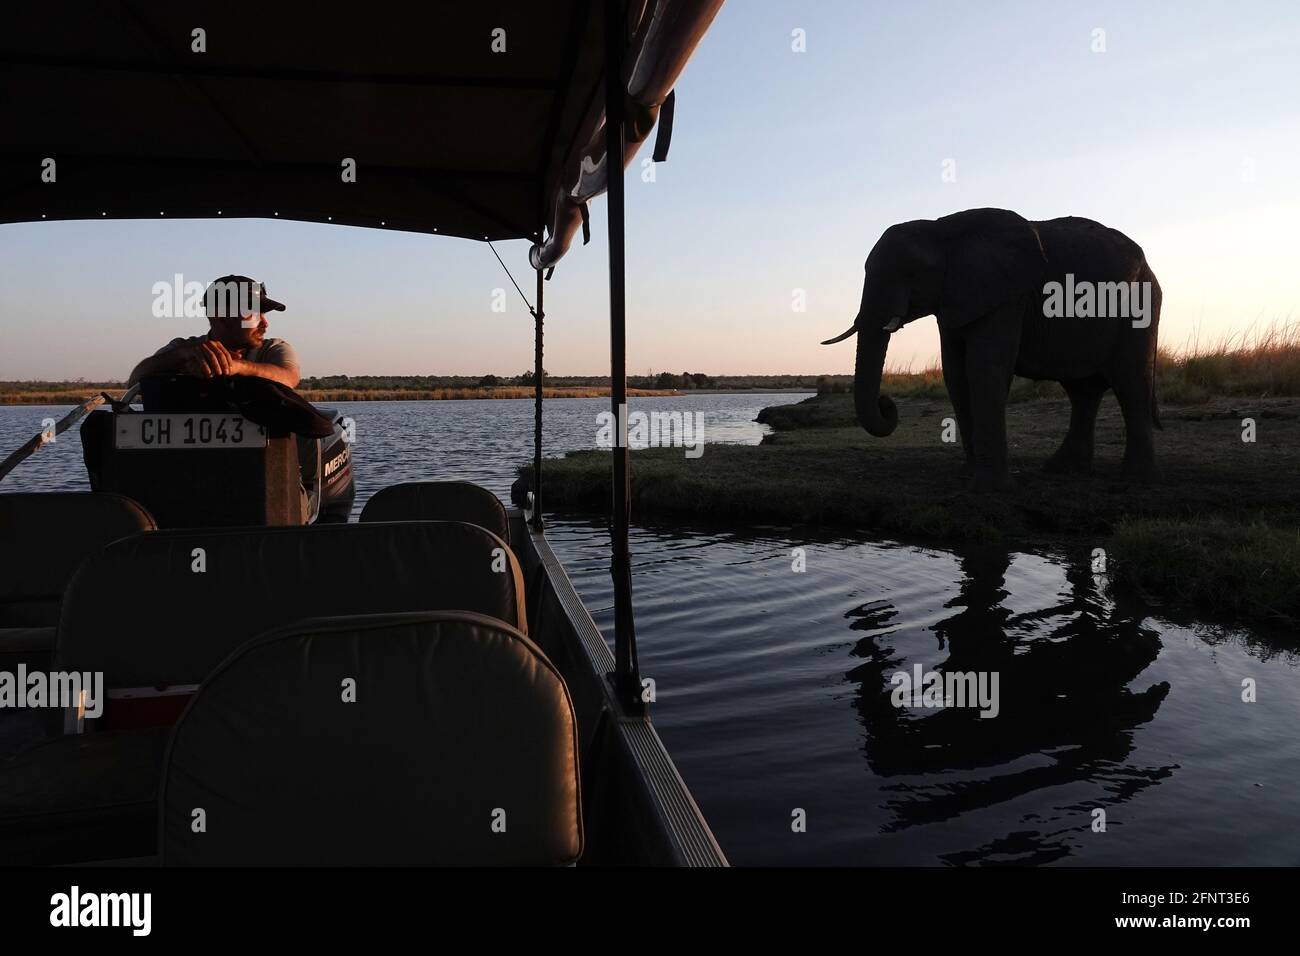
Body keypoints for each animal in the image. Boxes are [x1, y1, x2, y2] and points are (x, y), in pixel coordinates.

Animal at [816, 210, 1164, 494]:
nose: (887, 404)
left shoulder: (1007, 295)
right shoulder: (956, 297)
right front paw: (968, 474)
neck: (943, 229)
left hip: (1140, 305)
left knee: (1131, 382)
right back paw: (1062, 470)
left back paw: (1135, 480)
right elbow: (955, 372)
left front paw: (989, 488)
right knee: (1083, 391)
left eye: (912, 274)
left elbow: (984, 366)